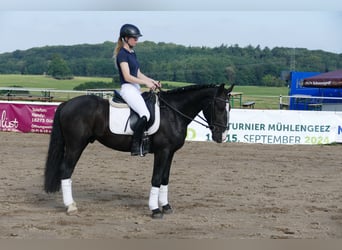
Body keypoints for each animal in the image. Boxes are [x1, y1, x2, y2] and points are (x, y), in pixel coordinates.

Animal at [44, 83, 234, 218]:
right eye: (218, 107)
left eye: (229, 108)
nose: (222, 136)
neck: (173, 113)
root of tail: (67, 103)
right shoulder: (163, 151)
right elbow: (156, 178)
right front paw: (155, 210)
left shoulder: (170, 152)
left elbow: (165, 178)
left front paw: (166, 206)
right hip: (76, 145)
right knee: (66, 170)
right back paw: (70, 206)